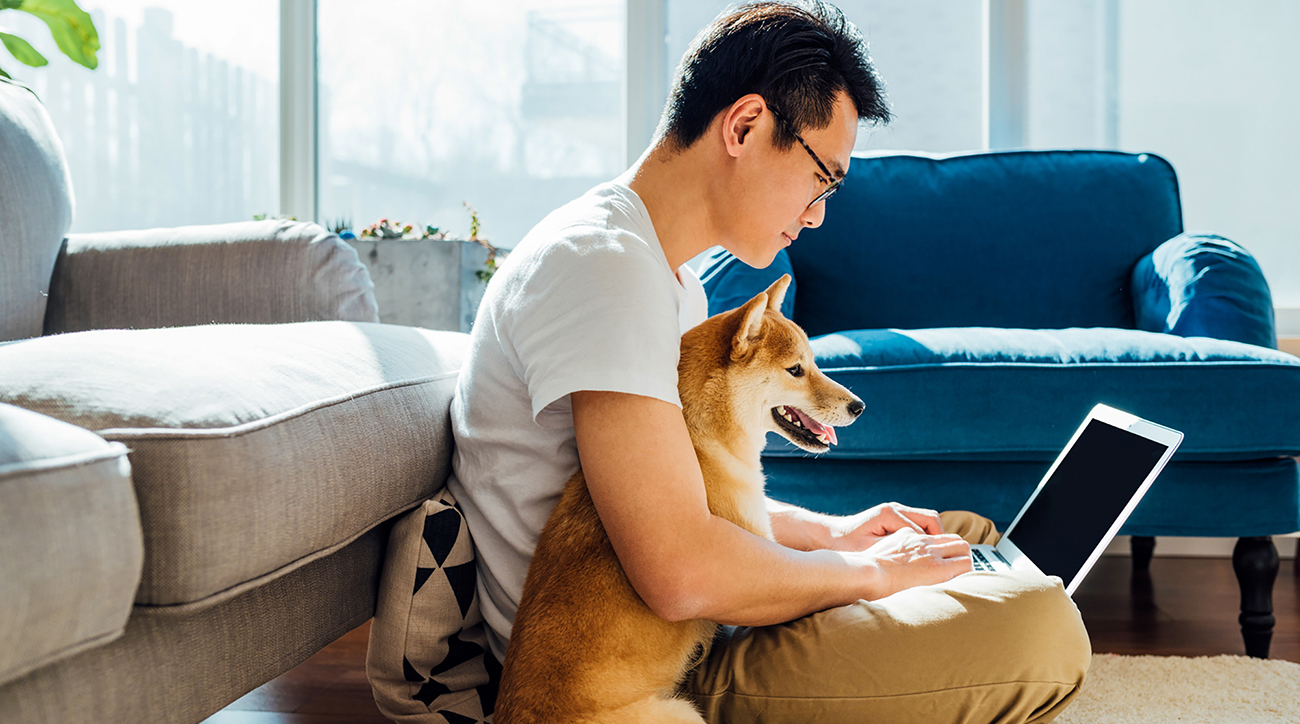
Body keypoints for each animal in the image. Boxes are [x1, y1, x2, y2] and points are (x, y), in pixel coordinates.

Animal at [493, 274, 863, 717]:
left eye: (814, 363)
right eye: (796, 369)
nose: (860, 406)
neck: (700, 438)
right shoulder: (760, 550)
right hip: (684, 713)